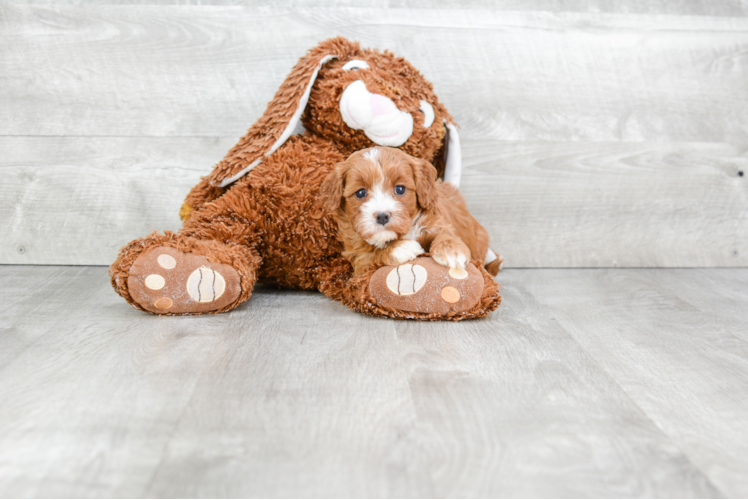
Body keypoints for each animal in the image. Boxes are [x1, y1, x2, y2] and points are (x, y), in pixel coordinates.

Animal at [322, 145, 502, 278]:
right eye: (360, 193)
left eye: (400, 189)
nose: (382, 216)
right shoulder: (358, 257)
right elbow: (371, 253)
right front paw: (399, 248)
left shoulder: (437, 221)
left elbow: (446, 233)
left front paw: (452, 250)